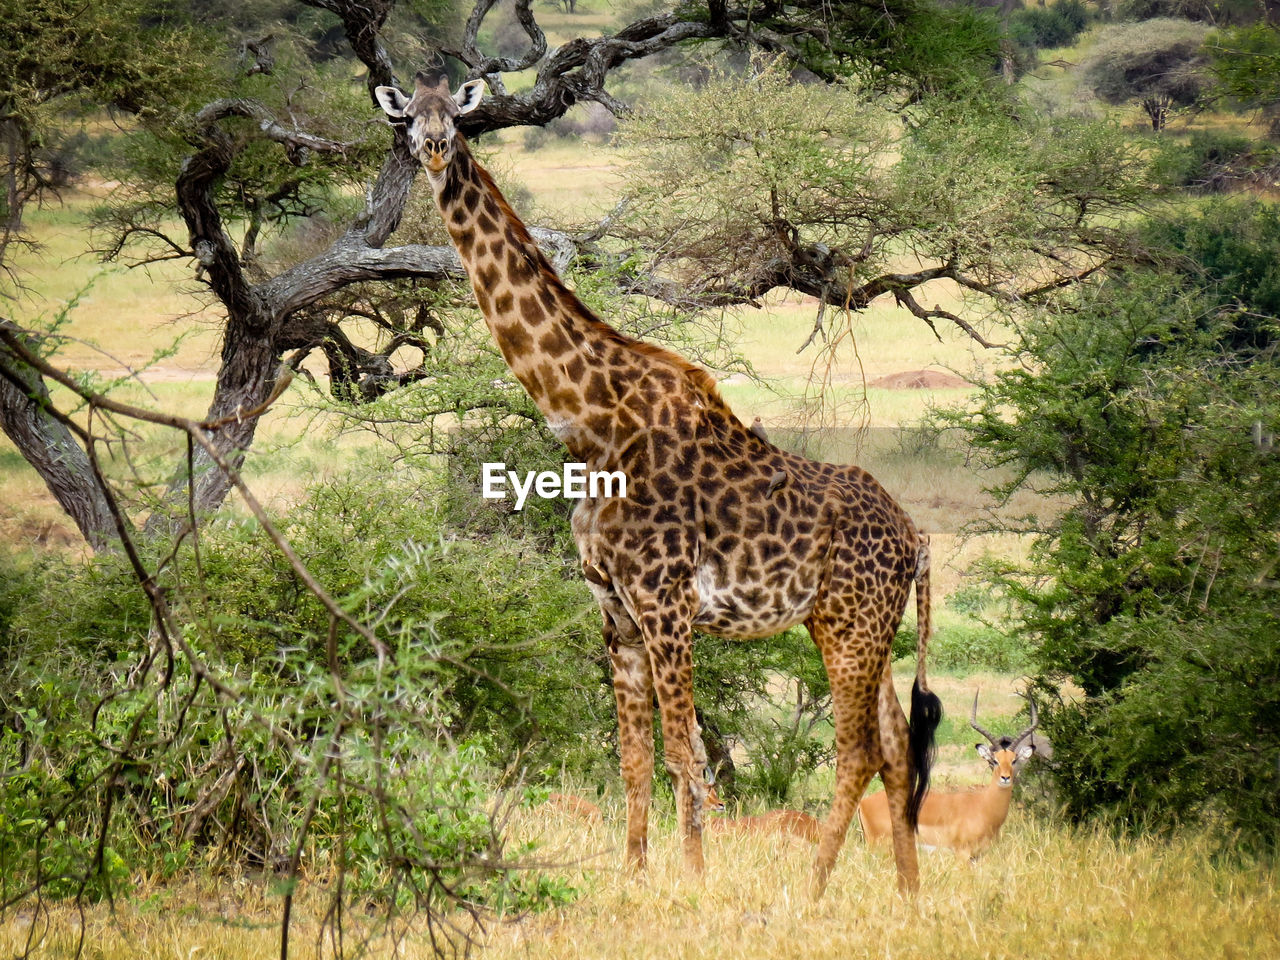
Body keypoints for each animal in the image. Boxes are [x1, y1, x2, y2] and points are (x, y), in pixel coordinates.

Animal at [373, 75, 947, 901]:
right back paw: (906, 890)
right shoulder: (614, 610)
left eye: (458, 114)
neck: (590, 426)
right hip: (853, 624)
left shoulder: (666, 603)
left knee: (860, 749)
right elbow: (634, 759)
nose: (434, 151)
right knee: (897, 743)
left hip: (850, 624)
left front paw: (697, 881)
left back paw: (811, 889)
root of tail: (916, 539)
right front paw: (634, 873)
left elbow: (686, 755)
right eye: (406, 118)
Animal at [855, 691, 1034, 865]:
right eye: (994, 760)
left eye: (1014, 760)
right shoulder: (962, 854)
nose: (1005, 778)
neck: (983, 807)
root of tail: (863, 803)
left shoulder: (976, 857)